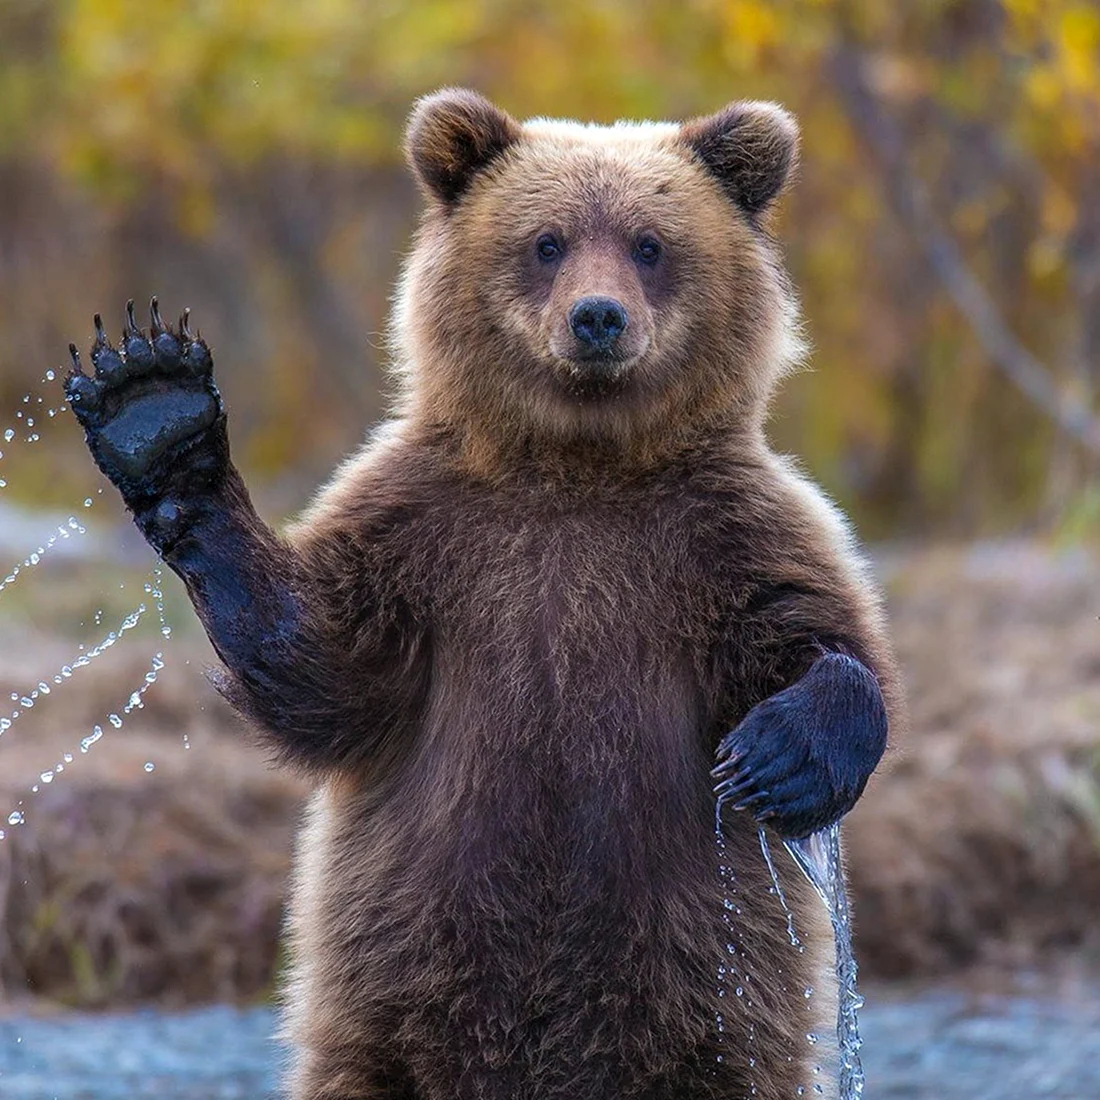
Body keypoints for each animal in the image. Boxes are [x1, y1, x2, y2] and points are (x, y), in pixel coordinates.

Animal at [64, 89, 901, 1100]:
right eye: (546, 240)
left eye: (650, 243)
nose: (597, 318)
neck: (577, 463)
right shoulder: (427, 533)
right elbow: (324, 668)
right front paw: (154, 406)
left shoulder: (724, 533)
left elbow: (822, 636)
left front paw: (776, 756)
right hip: (389, 1000)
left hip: (712, 1009)